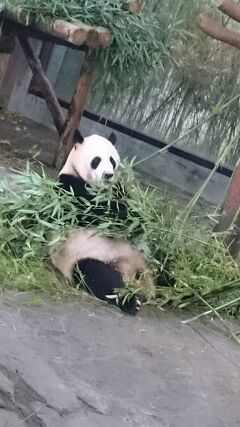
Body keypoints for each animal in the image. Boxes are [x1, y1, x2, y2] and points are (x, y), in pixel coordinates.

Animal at [51, 130, 154, 314]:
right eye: (96, 160)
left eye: (112, 160)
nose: (108, 175)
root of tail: (127, 267)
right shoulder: (69, 188)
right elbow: (91, 213)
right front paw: (120, 215)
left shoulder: (119, 189)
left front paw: (136, 220)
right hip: (81, 256)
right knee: (99, 277)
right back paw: (130, 301)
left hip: (143, 259)